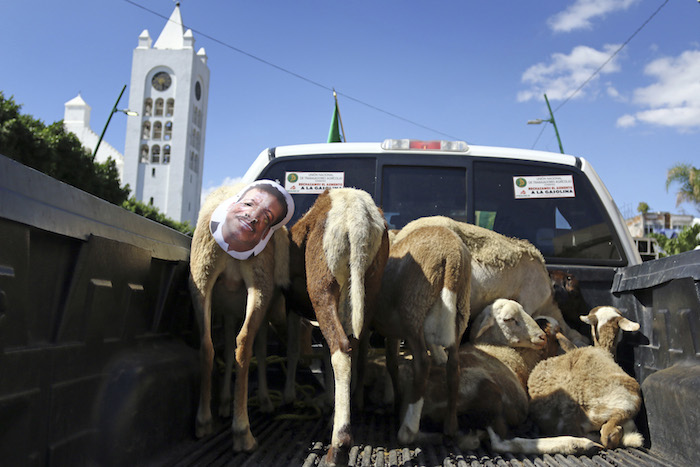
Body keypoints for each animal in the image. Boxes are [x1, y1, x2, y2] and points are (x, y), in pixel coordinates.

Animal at [189, 184, 290, 454]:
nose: (251, 218)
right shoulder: (253, 316)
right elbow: (261, 351)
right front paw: (263, 400)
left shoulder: (228, 311)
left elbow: (225, 348)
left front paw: (225, 402)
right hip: (259, 283)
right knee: (244, 343)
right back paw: (242, 431)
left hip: (201, 275)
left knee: (207, 345)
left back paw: (205, 421)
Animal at [370, 225, 474, 444]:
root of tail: (451, 253)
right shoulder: (393, 329)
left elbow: (391, 363)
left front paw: (396, 401)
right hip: (460, 312)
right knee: (454, 366)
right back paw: (450, 426)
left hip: (413, 311)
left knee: (422, 364)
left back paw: (408, 428)